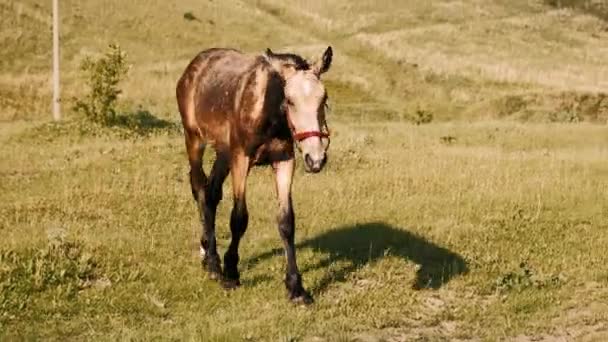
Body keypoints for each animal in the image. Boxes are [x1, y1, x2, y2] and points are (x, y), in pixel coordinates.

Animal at [176, 46, 332, 304]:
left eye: (324, 99)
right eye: (290, 100)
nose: (316, 159)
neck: (268, 112)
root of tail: (194, 66)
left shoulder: (284, 161)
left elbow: (286, 221)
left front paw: (296, 288)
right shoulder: (242, 160)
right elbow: (239, 218)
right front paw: (231, 273)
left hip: (223, 152)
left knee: (211, 193)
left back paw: (208, 255)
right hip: (195, 140)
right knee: (200, 189)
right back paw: (213, 263)